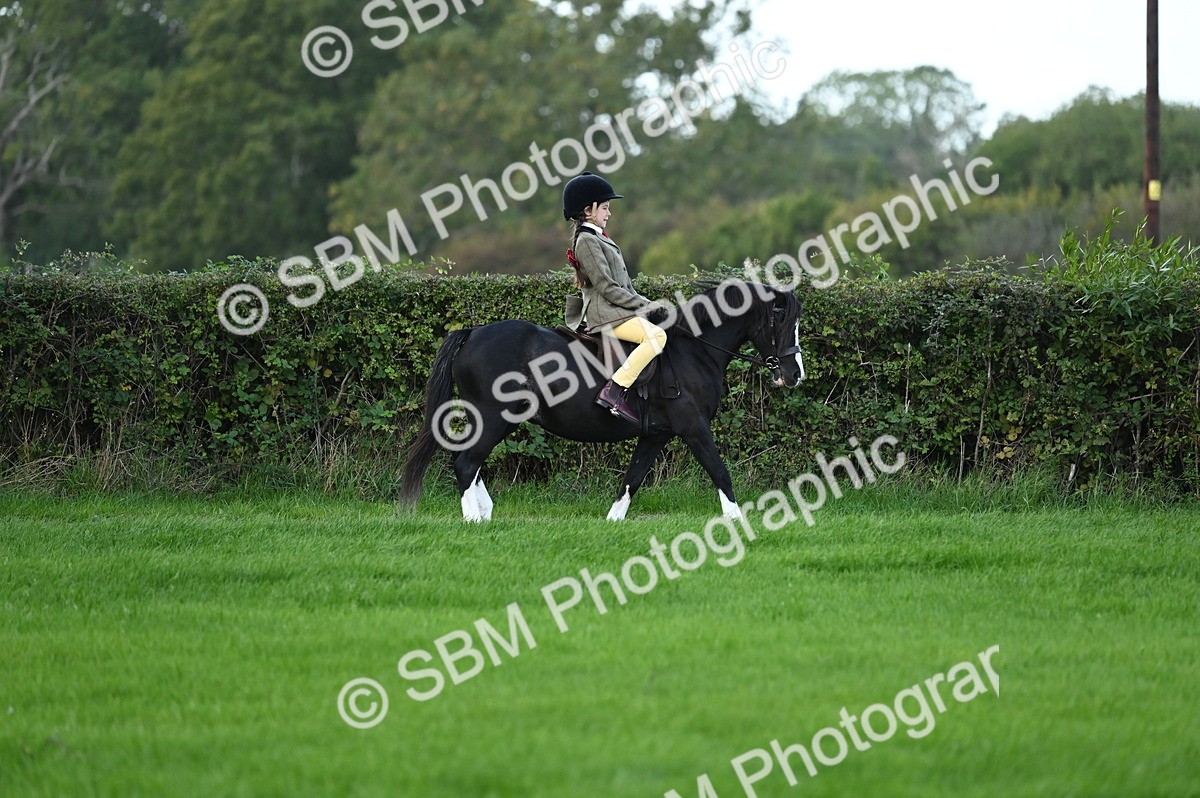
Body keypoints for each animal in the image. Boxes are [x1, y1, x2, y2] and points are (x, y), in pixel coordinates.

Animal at [400, 280, 805, 522]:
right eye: (781, 322)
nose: (794, 374)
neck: (695, 350)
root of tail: (471, 333)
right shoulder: (694, 427)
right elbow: (720, 472)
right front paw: (738, 522)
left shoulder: (655, 434)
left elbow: (633, 478)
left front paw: (613, 521)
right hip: (494, 415)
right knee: (466, 462)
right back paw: (475, 520)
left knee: (469, 460)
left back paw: (485, 512)